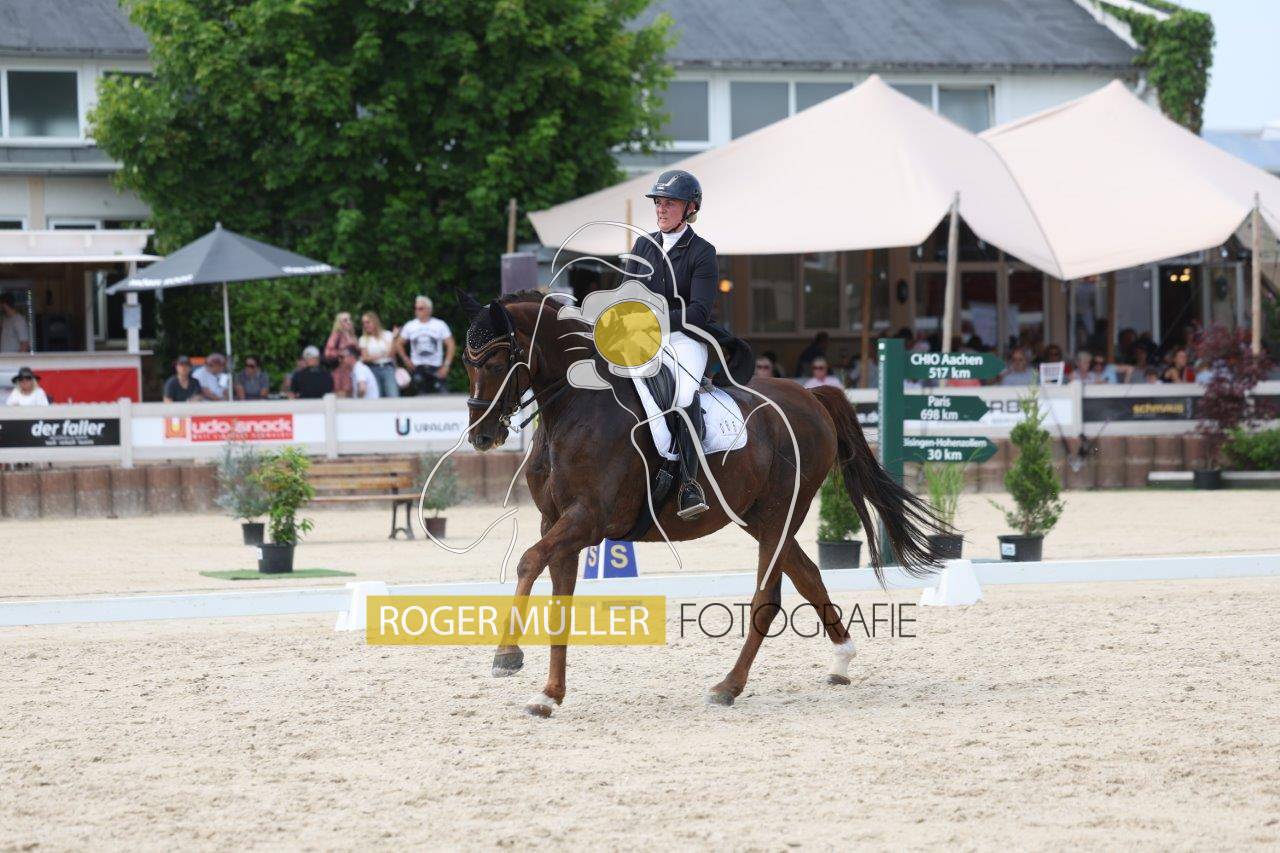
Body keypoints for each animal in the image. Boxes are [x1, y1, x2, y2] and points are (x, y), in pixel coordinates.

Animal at [457, 289, 945, 716]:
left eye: (498, 361)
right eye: (466, 361)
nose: (482, 436)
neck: (577, 409)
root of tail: (811, 396)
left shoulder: (587, 519)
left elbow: (527, 560)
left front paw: (507, 655)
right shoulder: (556, 522)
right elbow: (558, 597)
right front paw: (548, 696)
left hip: (780, 513)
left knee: (768, 597)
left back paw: (728, 686)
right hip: (756, 516)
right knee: (807, 575)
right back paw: (841, 660)